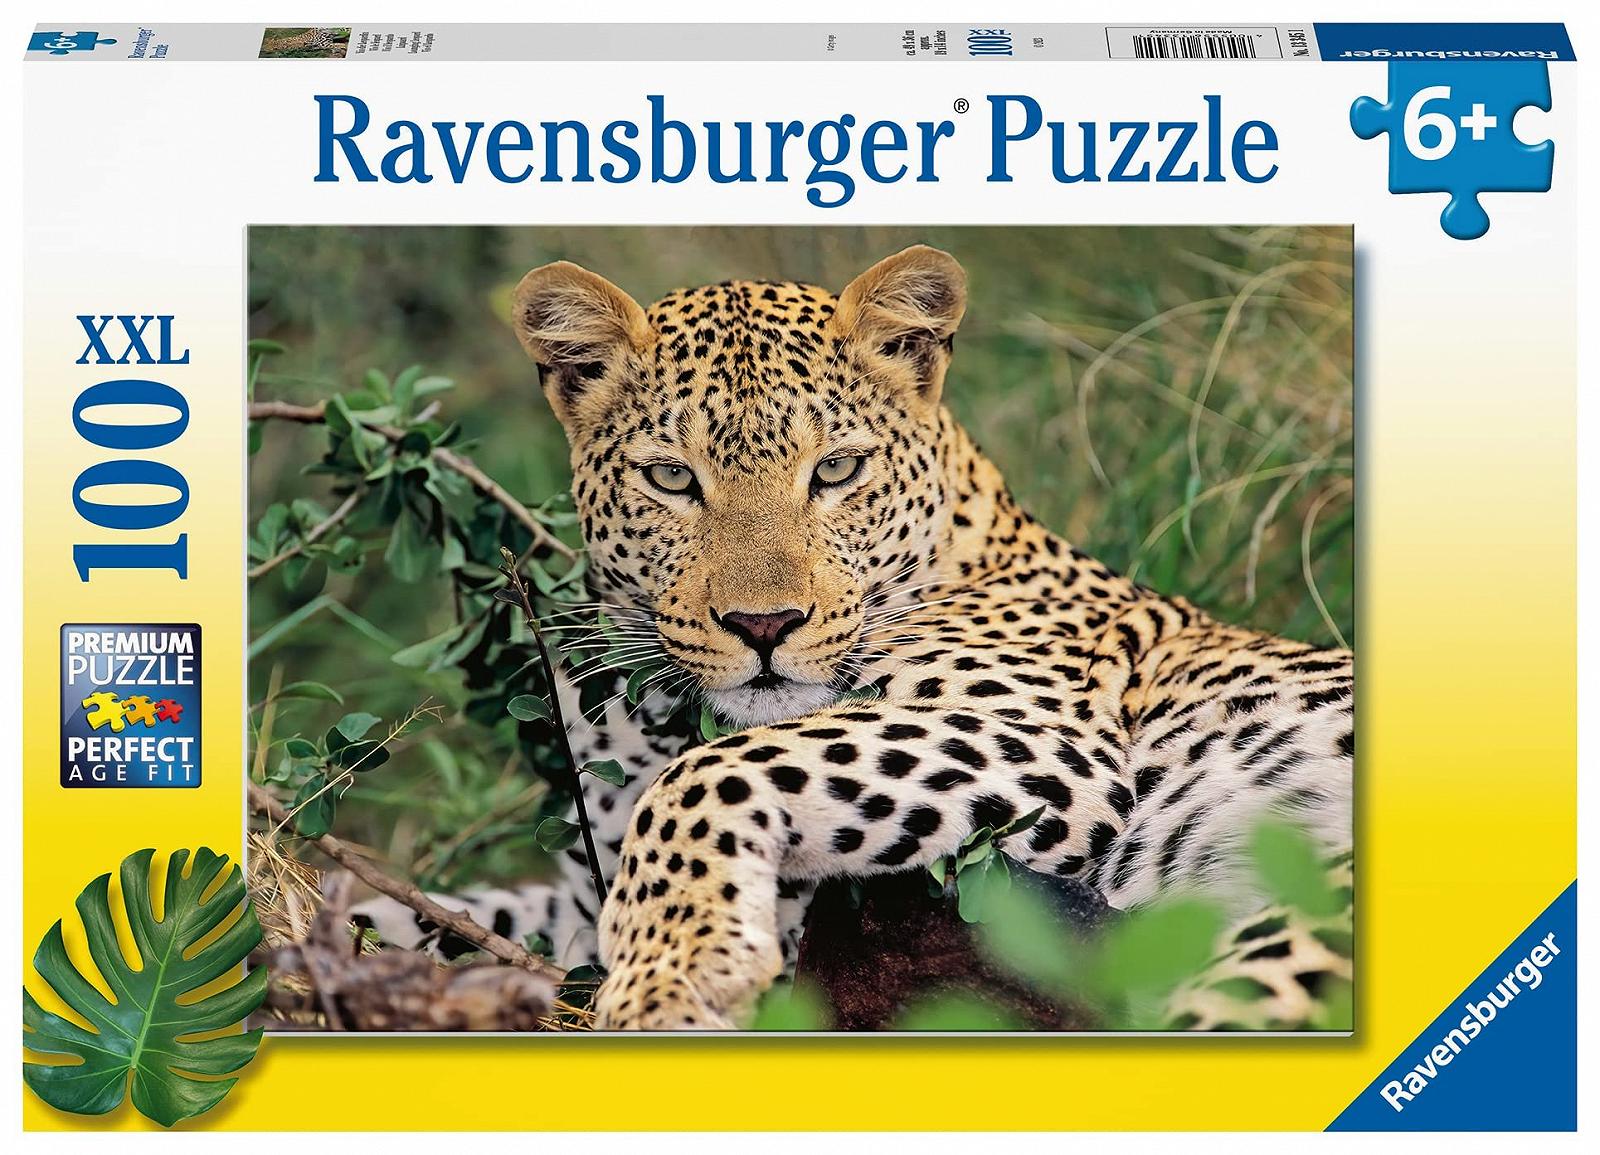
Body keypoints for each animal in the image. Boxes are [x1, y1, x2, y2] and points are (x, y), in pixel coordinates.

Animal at [355, 244, 1354, 1031]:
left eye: (836, 469)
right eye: (672, 478)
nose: (763, 625)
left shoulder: (1050, 743)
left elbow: (711, 771)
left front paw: (674, 974)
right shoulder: (576, 888)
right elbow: (443, 909)